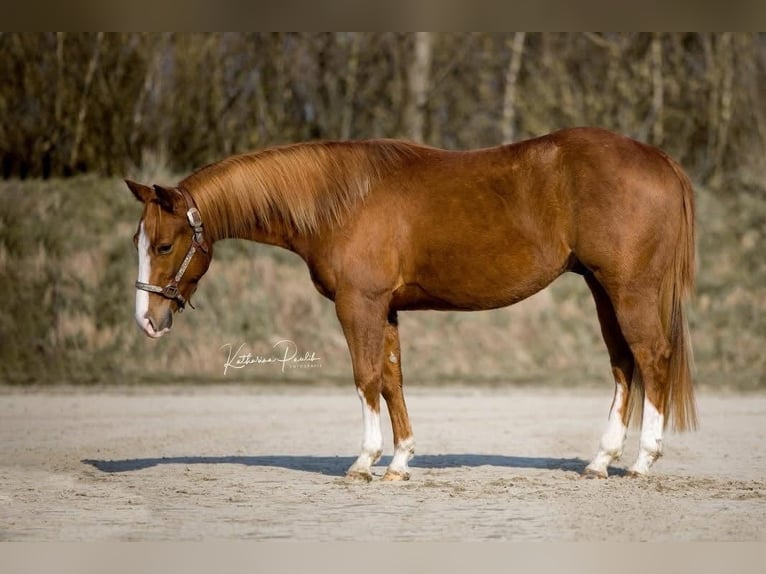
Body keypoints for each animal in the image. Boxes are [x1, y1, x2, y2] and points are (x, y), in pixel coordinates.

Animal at [126, 126, 697, 481]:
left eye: (164, 245)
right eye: (138, 240)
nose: (147, 321)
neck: (341, 199)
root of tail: (659, 159)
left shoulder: (359, 304)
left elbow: (365, 377)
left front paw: (365, 461)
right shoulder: (386, 308)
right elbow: (392, 378)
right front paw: (400, 462)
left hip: (630, 288)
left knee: (652, 358)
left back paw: (642, 462)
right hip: (603, 289)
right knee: (624, 365)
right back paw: (601, 461)